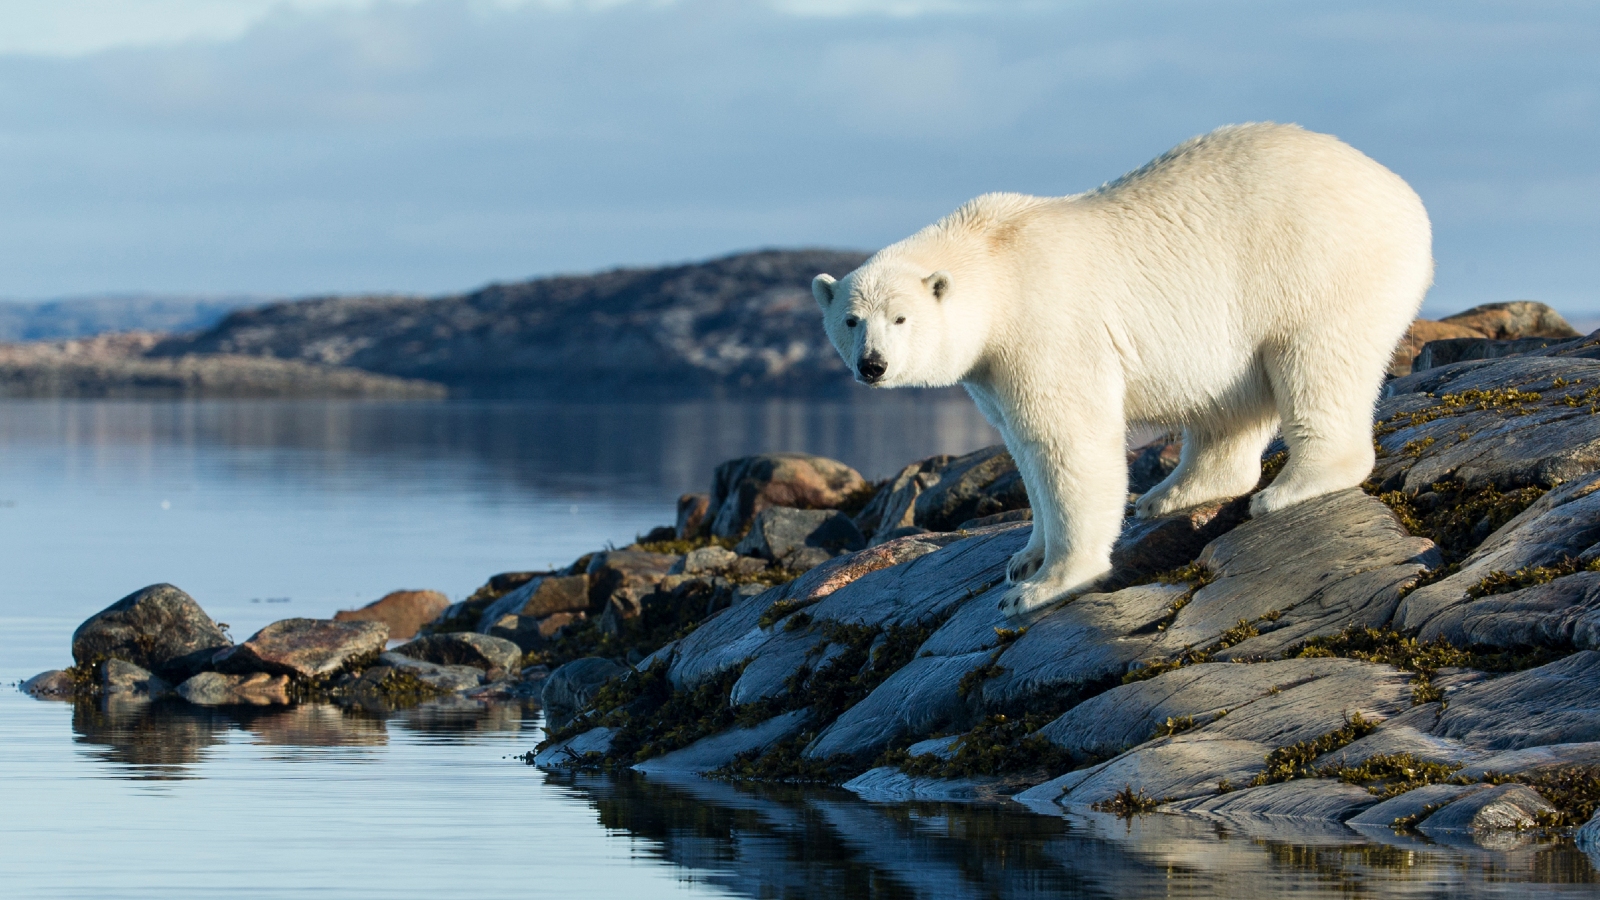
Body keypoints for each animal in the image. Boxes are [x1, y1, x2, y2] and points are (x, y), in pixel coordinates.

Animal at [819, 122, 1433, 611]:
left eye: (900, 317)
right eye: (851, 319)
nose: (873, 365)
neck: (996, 260)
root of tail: (1407, 198)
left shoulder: (1048, 327)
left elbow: (1069, 441)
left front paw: (1042, 586)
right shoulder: (992, 370)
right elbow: (1024, 448)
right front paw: (1024, 557)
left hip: (1317, 265)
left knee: (1316, 361)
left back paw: (1291, 488)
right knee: (1228, 403)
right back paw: (1172, 493)